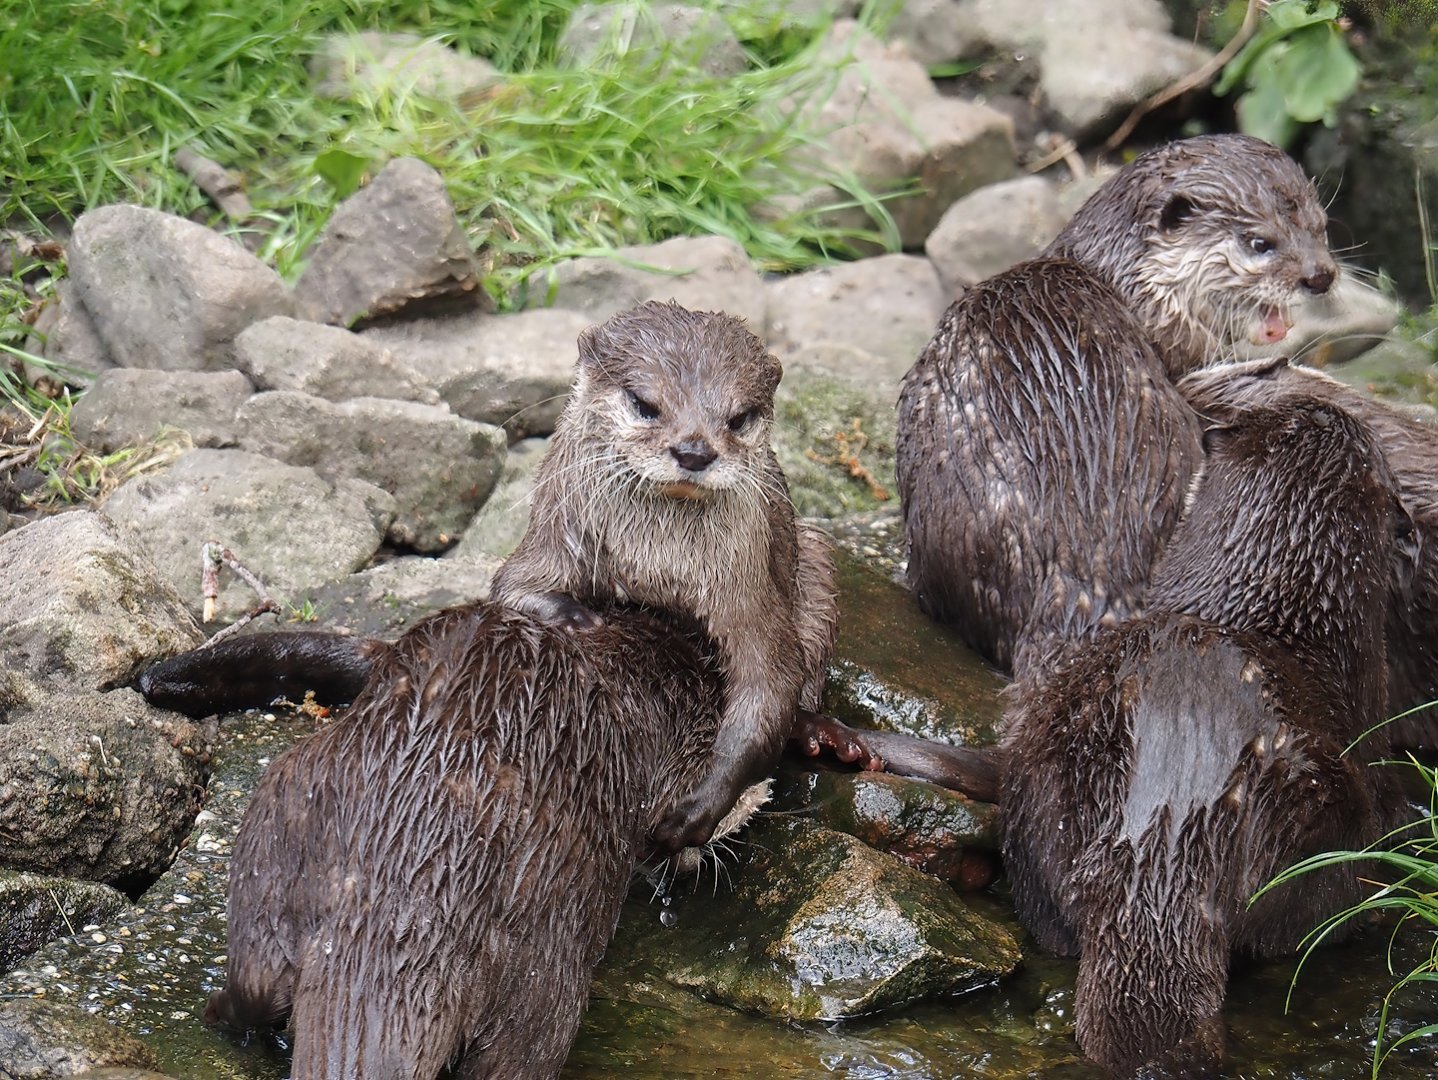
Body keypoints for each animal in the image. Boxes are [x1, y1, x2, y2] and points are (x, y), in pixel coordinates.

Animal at [489, 299, 838, 852]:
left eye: (739, 418)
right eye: (644, 403)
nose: (694, 450)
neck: (655, 562)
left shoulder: (746, 586)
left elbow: (769, 680)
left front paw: (699, 809)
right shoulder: (556, 535)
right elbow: (511, 587)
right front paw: (577, 617)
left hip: (817, 555)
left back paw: (817, 733)